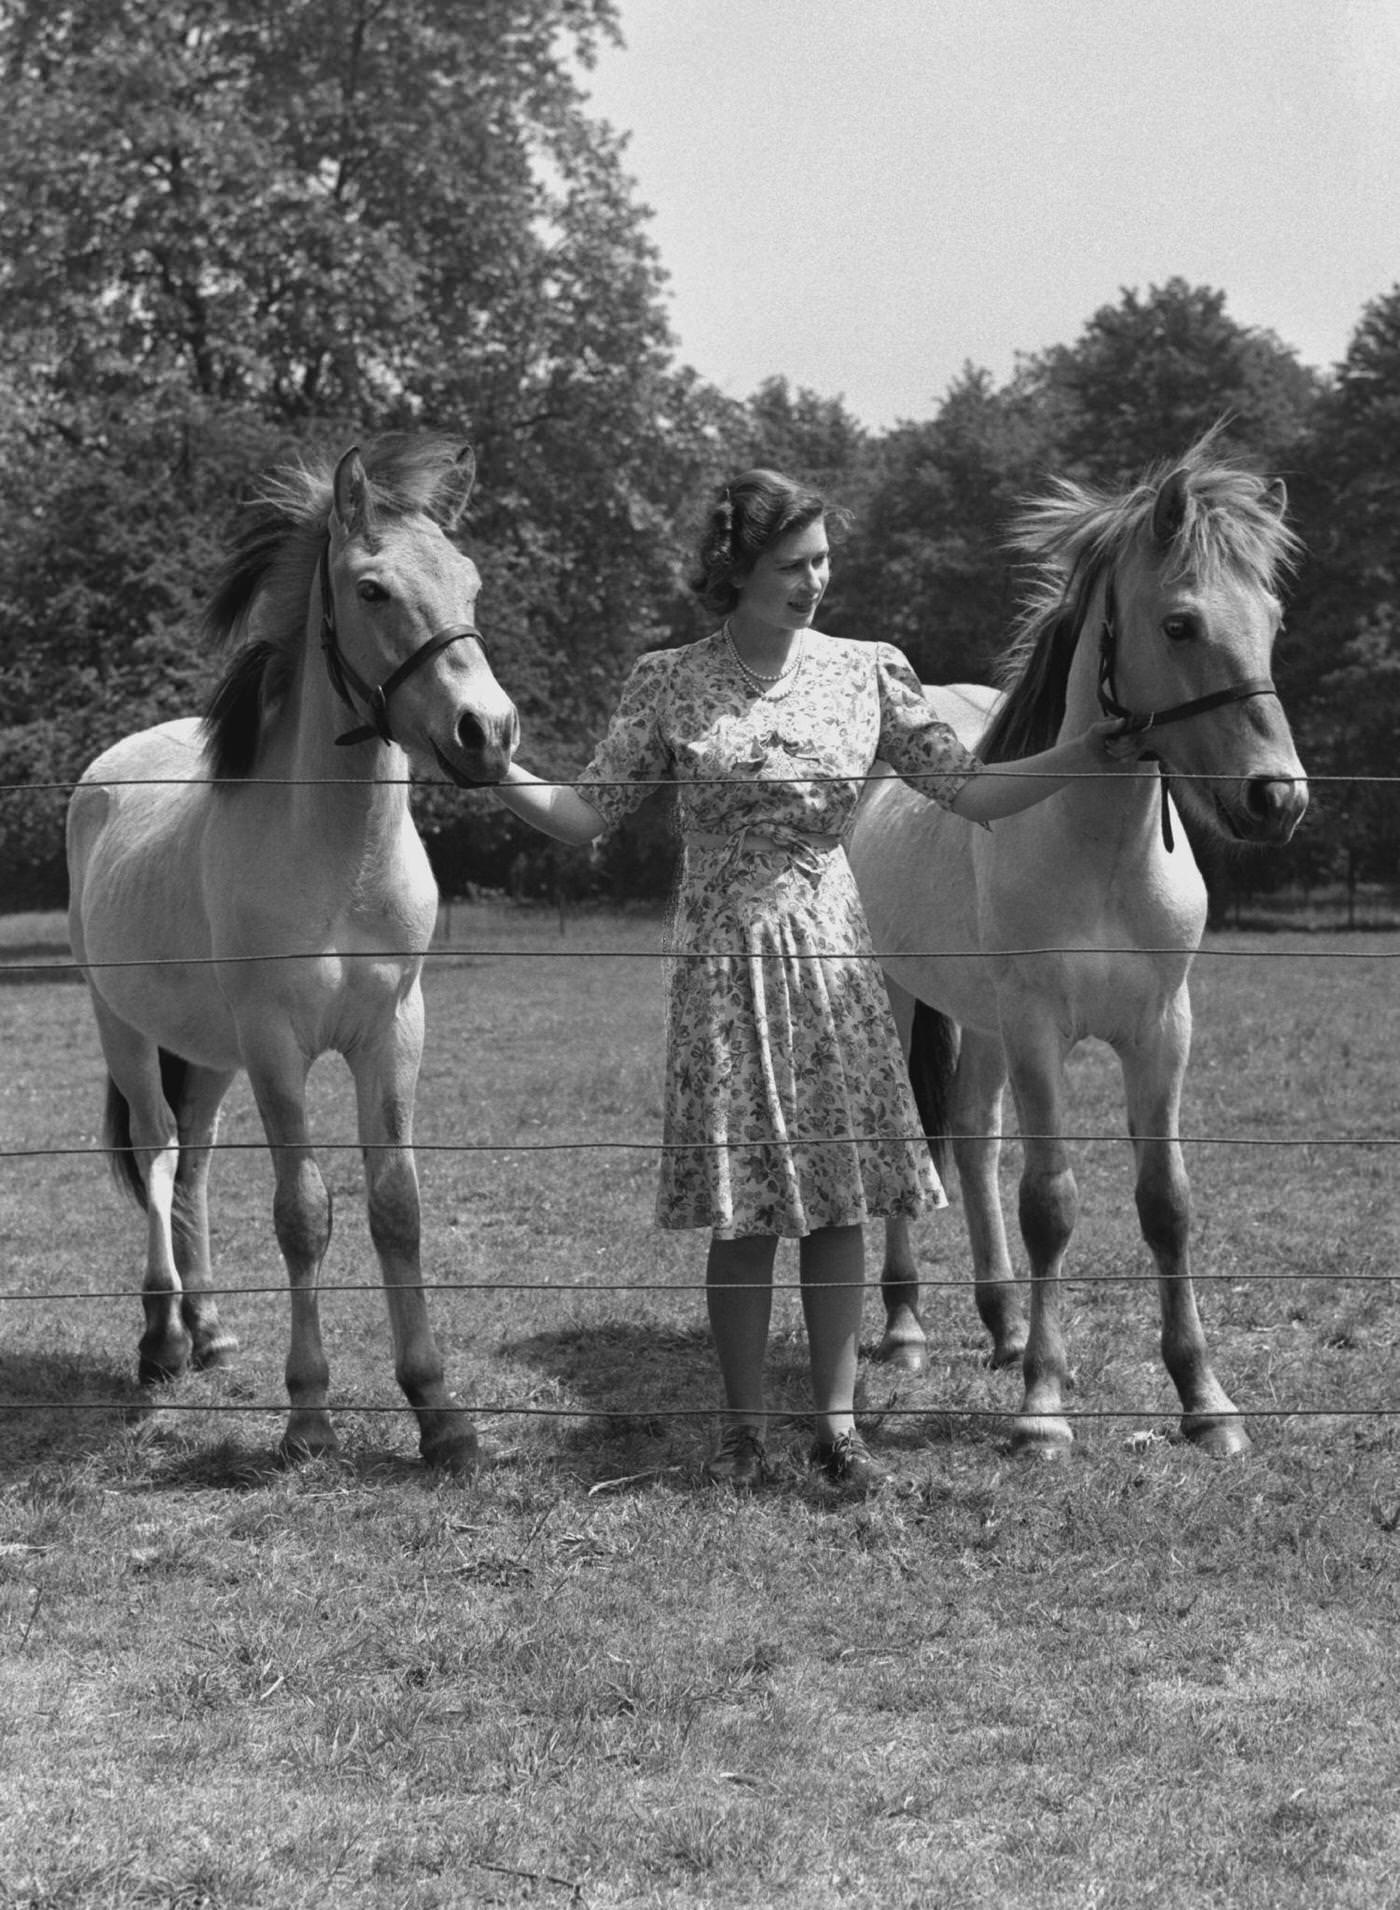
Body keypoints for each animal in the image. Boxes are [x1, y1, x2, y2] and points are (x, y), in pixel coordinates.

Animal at [68, 437, 515, 1474]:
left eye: (471, 580)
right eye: (371, 589)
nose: (487, 732)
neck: (338, 859)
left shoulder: (393, 1033)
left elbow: (396, 1208)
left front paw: (441, 1413)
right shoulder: (277, 1045)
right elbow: (303, 1213)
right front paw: (308, 1415)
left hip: (208, 1056)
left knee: (192, 1164)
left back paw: (209, 1327)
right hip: (127, 1030)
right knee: (157, 1150)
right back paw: (160, 1339)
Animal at [848, 433, 1306, 1459]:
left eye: (1272, 620)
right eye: (1179, 624)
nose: (1277, 797)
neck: (1100, 851)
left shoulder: (1161, 1030)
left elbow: (1166, 1204)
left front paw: (1205, 1400)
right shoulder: (1037, 1029)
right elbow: (1051, 1203)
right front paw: (1044, 1409)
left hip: (979, 1023)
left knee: (973, 1139)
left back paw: (1004, 1324)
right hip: (903, 996)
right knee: (922, 1140)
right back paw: (906, 1327)